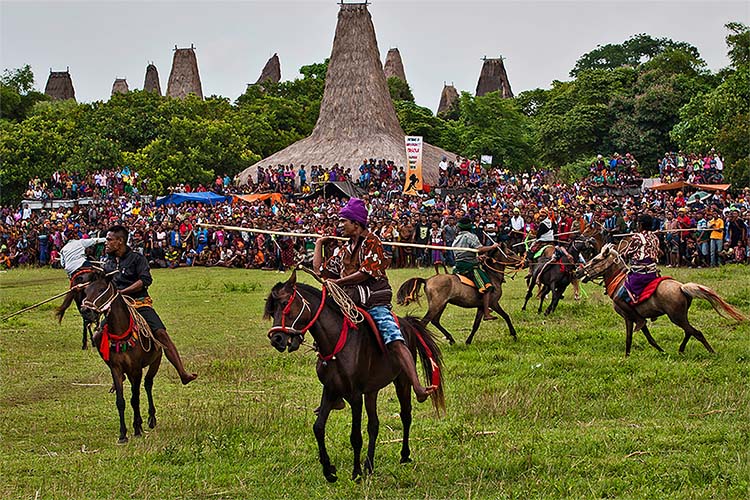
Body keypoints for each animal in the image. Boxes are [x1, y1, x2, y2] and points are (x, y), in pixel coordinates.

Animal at [59, 270, 164, 442]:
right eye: (86, 291)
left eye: (102, 290)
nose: (86, 310)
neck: (122, 333)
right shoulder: (116, 368)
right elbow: (121, 402)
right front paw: (123, 434)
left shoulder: (136, 369)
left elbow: (135, 399)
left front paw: (137, 429)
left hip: (155, 360)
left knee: (148, 384)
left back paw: (151, 419)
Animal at [264, 272, 444, 482]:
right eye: (271, 310)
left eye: (285, 303)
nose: (276, 339)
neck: (337, 341)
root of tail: (407, 323)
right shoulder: (331, 390)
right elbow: (318, 428)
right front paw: (329, 470)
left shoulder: (356, 395)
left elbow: (355, 436)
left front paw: (356, 472)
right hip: (372, 390)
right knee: (374, 425)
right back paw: (369, 465)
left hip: (403, 381)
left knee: (406, 415)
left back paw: (404, 454)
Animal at [576, 243, 748, 356]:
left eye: (595, 260)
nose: (578, 272)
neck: (618, 282)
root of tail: (681, 287)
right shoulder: (637, 317)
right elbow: (648, 336)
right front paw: (661, 350)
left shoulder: (628, 316)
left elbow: (629, 337)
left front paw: (626, 356)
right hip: (680, 316)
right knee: (689, 332)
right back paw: (681, 350)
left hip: (676, 316)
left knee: (696, 332)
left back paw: (711, 352)